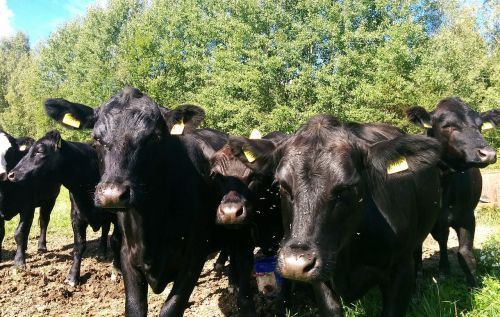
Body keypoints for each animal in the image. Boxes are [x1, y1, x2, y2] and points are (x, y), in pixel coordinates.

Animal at [0, 130, 60, 268]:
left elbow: (20, 233)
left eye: (10, 151)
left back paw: (41, 246)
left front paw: (19, 262)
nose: (0, 174)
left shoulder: (27, 207)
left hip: (50, 199)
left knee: (44, 221)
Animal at [43, 86, 227, 316]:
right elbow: (134, 307)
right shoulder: (128, 257)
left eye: (155, 138)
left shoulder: (194, 257)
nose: (112, 194)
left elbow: (171, 308)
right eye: (96, 139)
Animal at [408, 97, 498, 286]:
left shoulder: (467, 216)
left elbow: (465, 254)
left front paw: (473, 286)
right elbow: (416, 254)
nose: (488, 154)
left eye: (480, 126)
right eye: (447, 125)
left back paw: (444, 268)